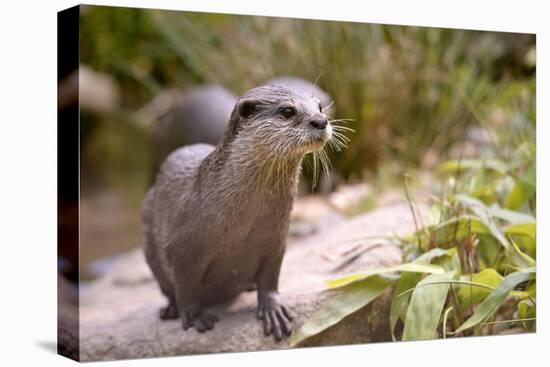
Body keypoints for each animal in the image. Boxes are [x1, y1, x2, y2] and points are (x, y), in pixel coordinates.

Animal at [143, 84, 332, 342]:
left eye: (320, 107)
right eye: (287, 111)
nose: (321, 121)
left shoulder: (276, 239)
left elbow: (270, 277)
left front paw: (273, 308)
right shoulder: (182, 248)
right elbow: (185, 287)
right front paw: (194, 316)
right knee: (166, 287)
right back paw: (170, 309)